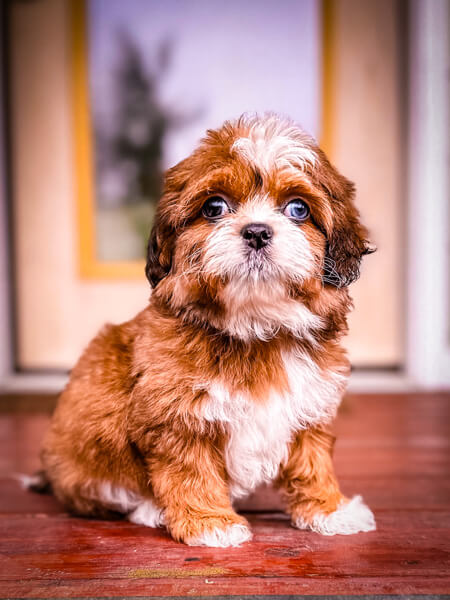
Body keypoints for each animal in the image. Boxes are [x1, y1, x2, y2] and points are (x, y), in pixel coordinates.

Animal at [37, 115, 376, 548]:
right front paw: (209, 522)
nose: (257, 231)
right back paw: (151, 510)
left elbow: (311, 460)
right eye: (214, 207)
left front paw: (330, 508)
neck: (255, 327)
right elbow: (190, 469)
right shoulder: (177, 416)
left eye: (298, 209)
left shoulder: (310, 406)